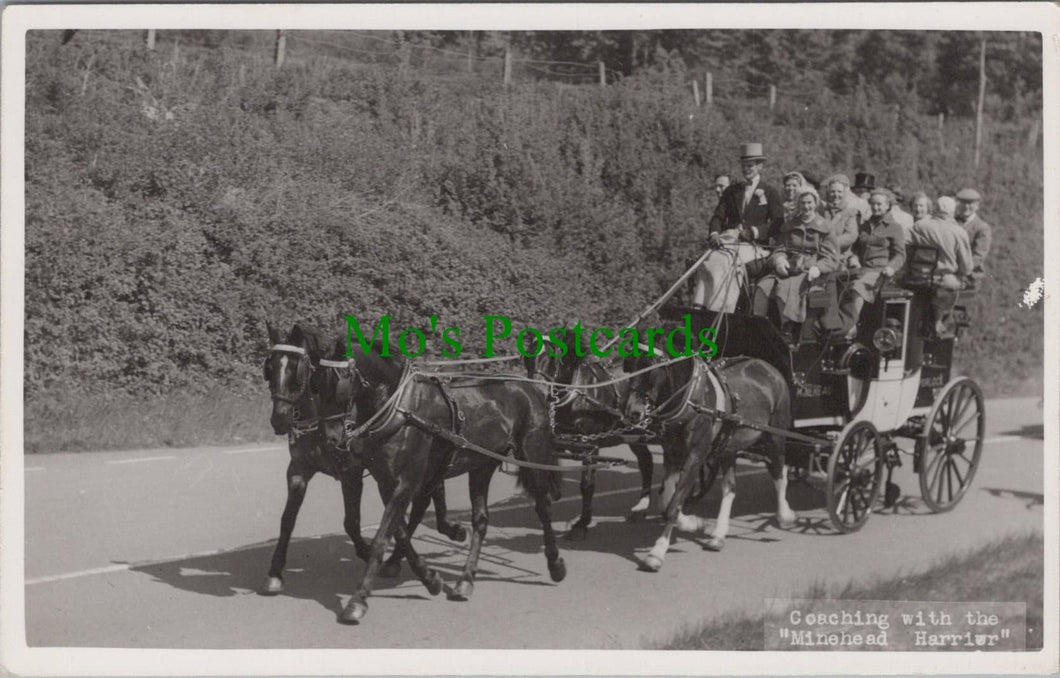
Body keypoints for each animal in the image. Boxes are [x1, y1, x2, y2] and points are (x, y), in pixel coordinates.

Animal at [257, 322, 464, 593]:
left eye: (297, 369)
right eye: (269, 368)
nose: (279, 420)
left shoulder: (351, 473)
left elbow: (352, 522)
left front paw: (368, 553)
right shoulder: (299, 469)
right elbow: (287, 519)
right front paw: (274, 572)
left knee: (423, 500)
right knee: (429, 493)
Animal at [315, 336, 568, 622]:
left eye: (338, 384)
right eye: (315, 384)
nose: (330, 439)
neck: (400, 407)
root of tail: (530, 388)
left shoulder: (406, 482)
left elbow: (382, 537)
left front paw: (358, 599)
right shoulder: (387, 483)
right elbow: (400, 532)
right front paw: (430, 579)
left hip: (531, 454)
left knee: (543, 506)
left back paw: (555, 563)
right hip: (482, 464)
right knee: (481, 520)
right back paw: (465, 580)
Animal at [619, 355, 797, 572]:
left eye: (652, 367)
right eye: (630, 365)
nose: (631, 412)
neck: (691, 400)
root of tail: (768, 366)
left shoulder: (696, 455)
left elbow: (672, 505)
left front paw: (657, 552)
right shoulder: (672, 453)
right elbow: (667, 499)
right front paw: (694, 523)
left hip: (775, 436)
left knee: (779, 473)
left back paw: (785, 515)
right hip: (728, 445)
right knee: (730, 488)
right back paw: (718, 535)